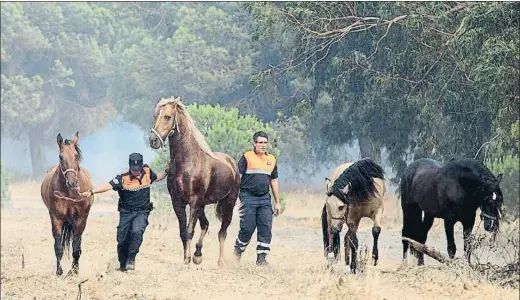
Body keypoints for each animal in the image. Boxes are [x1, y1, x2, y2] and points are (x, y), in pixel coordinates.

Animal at [41, 132, 94, 276]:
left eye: (76, 155)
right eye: (60, 156)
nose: (72, 182)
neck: (70, 194)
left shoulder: (80, 220)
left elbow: (76, 247)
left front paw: (74, 272)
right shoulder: (56, 218)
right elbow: (58, 247)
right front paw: (59, 271)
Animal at [148, 97, 242, 266]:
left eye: (167, 117)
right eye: (155, 115)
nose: (153, 141)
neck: (187, 162)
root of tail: (232, 164)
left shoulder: (194, 201)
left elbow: (190, 230)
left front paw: (187, 260)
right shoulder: (178, 202)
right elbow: (183, 231)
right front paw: (188, 257)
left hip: (228, 203)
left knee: (222, 232)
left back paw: (220, 261)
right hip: (203, 206)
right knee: (206, 225)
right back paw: (198, 255)